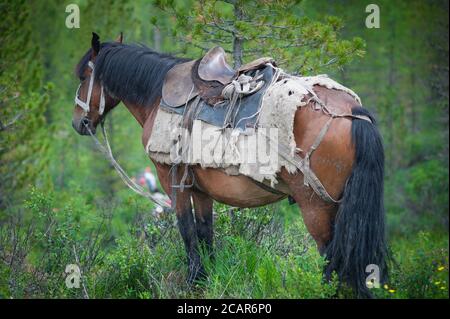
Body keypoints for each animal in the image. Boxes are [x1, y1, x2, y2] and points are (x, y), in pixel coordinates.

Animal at [72, 33, 388, 298]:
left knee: (331, 258)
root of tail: (351, 111)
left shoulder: (172, 181)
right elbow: (205, 232)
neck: (156, 95)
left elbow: (187, 230)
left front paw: (193, 281)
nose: (79, 122)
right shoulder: (200, 189)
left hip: (316, 206)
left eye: (85, 75)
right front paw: (204, 279)